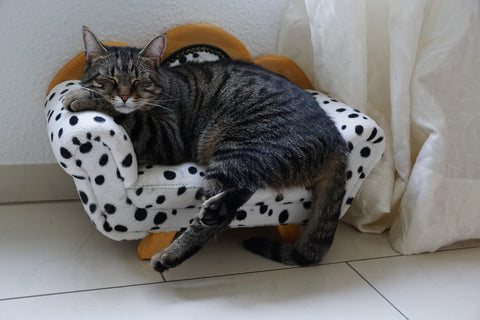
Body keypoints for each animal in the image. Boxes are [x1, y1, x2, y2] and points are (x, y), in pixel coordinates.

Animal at [63, 26, 348, 272]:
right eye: (108, 78)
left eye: (138, 81)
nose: (123, 96)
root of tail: (336, 139)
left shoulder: (167, 139)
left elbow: (130, 116)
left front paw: (82, 96)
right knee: (246, 188)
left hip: (240, 149)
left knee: (220, 218)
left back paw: (172, 253)